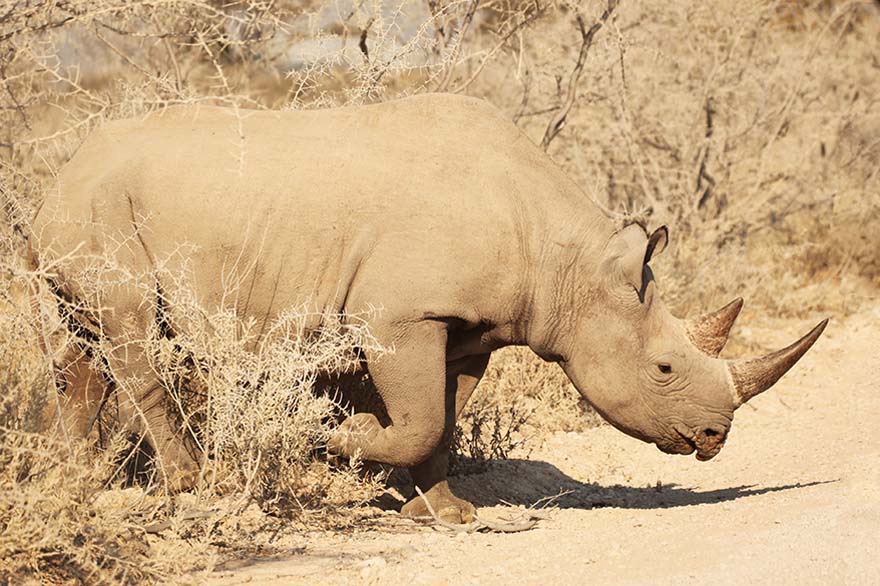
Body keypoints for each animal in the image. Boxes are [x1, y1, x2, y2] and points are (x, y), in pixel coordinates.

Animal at [30, 94, 826, 523]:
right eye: (664, 368)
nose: (714, 439)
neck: (566, 259)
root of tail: (58, 173)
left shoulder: (472, 330)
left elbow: (442, 420)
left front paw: (445, 514)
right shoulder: (400, 317)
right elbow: (414, 424)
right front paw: (326, 441)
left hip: (88, 213)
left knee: (82, 349)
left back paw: (72, 482)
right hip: (101, 212)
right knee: (131, 338)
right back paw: (200, 487)